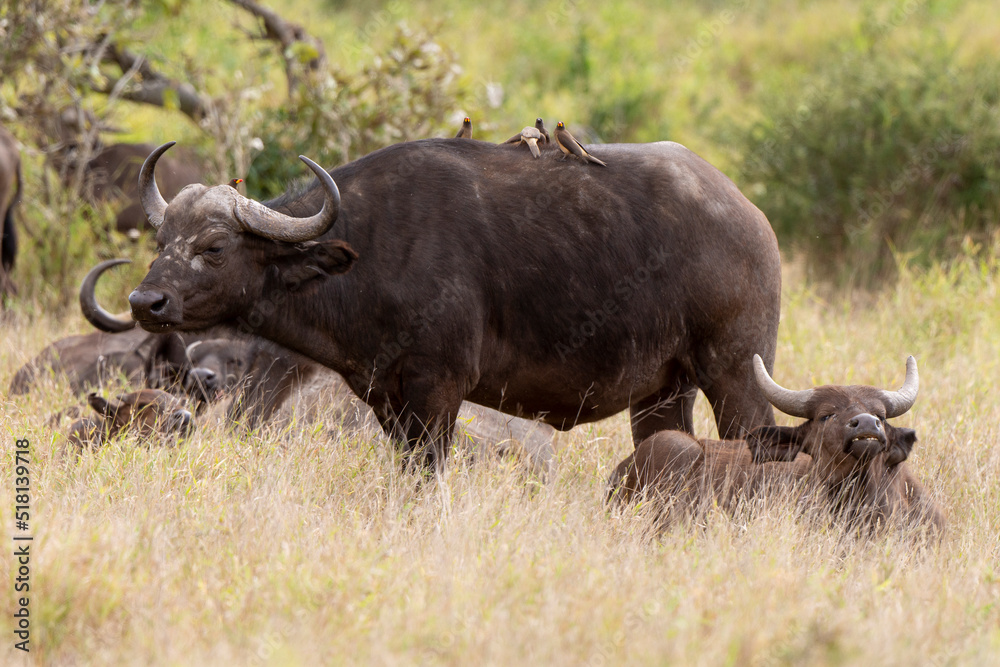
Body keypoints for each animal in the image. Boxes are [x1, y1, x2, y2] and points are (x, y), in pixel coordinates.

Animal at [127, 138, 780, 468]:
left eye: (214, 247)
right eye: (162, 241)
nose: (144, 301)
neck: (372, 249)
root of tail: (750, 218)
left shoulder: (438, 389)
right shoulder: (385, 398)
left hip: (736, 377)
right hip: (663, 392)